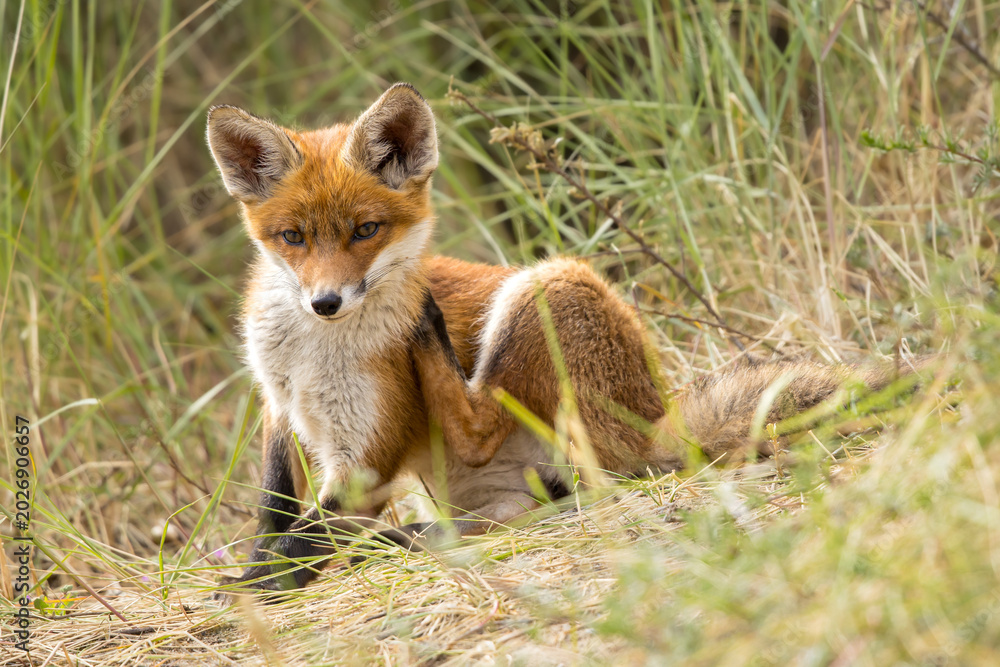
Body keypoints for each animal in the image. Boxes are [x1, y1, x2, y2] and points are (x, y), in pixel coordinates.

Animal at [206, 83, 916, 596]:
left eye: (365, 230)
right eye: (293, 238)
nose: (326, 302)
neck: (311, 355)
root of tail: (657, 419)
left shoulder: (369, 451)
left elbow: (304, 538)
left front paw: (252, 591)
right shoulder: (279, 403)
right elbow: (274, 510)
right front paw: (257, 570)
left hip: (543, 290)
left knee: (483, 425)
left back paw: (428, 335)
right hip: (490, 491)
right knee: (507, 516)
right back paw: (412, 541)